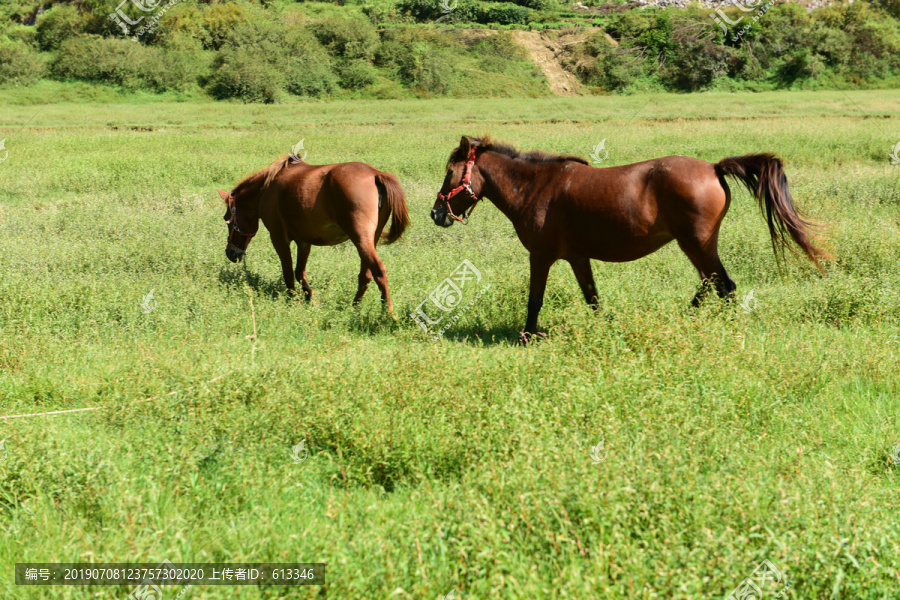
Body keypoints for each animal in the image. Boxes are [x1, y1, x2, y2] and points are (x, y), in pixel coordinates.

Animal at [220, 156, 409, 312]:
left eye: (227, 219)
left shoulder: (278, 237)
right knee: (366, 274)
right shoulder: (304, 241)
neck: (266, 190)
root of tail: (376, 174)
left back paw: (388, 313)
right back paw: (354, 307)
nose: (230, 253)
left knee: (379, 270)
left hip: (360, 239)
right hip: (371, 239)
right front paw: (310, 295)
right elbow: (299, 272)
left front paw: (292, 299)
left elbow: (288, 273)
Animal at [430, 135, 829, 339]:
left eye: (450, 173)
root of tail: (714, 168)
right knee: (709, 282)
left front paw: (529, 336)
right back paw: (687, 317)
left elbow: (535, 299)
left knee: (723, 285)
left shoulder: (540, 256)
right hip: (696, 245)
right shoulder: (577, 257)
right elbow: (592, 298)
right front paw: (608, 328)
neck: (534, 187)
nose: (436, 214)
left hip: (696, 243)